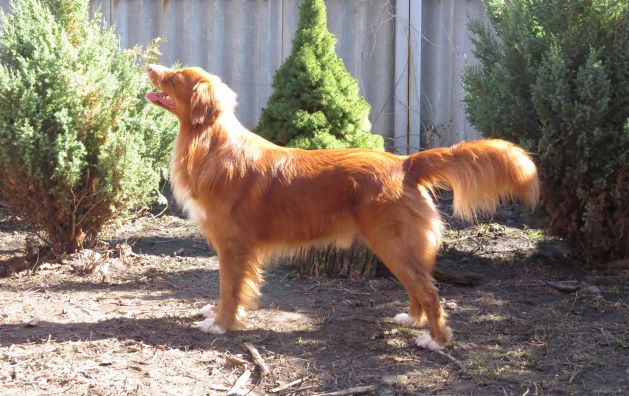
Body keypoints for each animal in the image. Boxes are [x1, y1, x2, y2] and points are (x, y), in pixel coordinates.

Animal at [145, 64, 536, 350]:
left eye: (175, 77)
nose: (150, 66)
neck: (211, 144)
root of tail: (405, 163)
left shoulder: (234, 246)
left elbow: (230, 289)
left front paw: (221, 324)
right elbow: (229, 289)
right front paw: (218, 315)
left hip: (392, 243)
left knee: (428, 290)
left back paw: (437, 341)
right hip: (399, 246)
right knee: (419, 287)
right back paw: (413, 320)